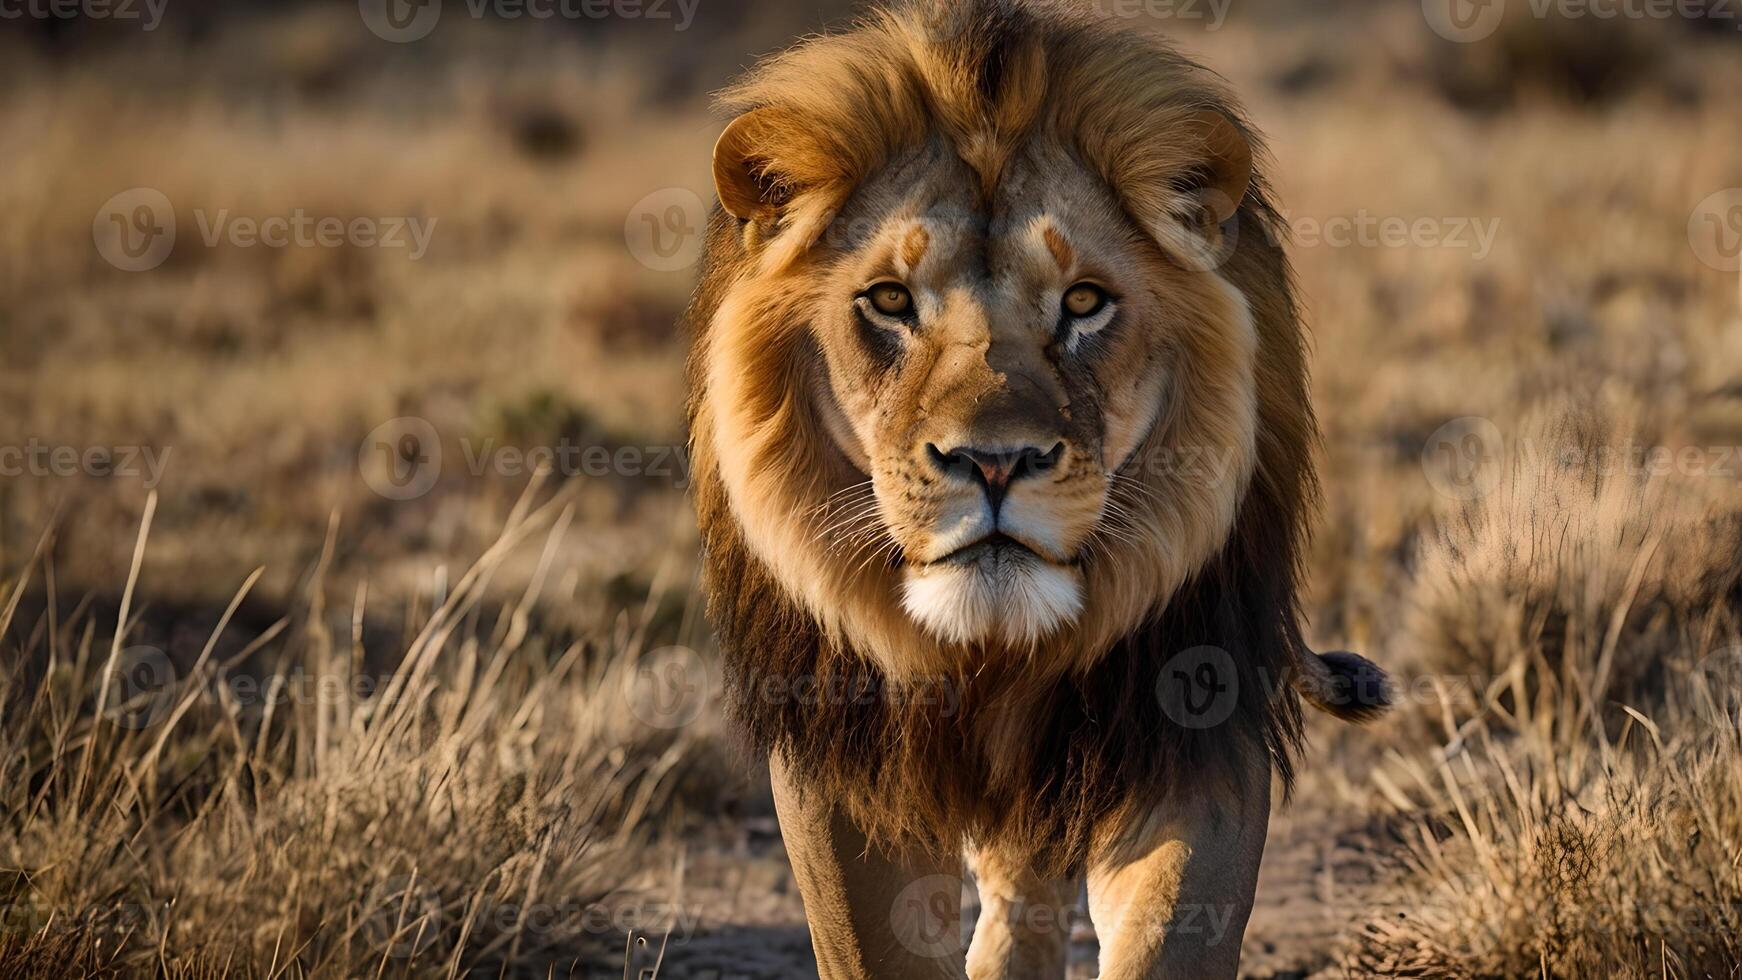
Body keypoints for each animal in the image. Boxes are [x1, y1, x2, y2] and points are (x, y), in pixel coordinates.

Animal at [679, 3, 1386, 974]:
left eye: (1084, 302)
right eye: (889, 301)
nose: (994, 462)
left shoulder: (1192, 710)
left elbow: (1169, 933)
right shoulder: (841, 758)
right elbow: (877, 947)